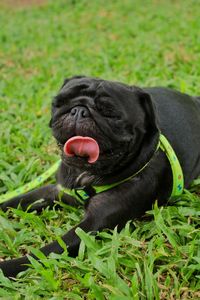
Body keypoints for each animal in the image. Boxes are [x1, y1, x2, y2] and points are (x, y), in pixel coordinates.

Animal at [1, 76, 200, 278]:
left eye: (111, 114)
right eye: (59, 103)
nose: (79, 110)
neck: (85, 175)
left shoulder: (93, 223)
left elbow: (40, 254)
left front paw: (5, 268)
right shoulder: (56, 191)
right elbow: (16, 201)